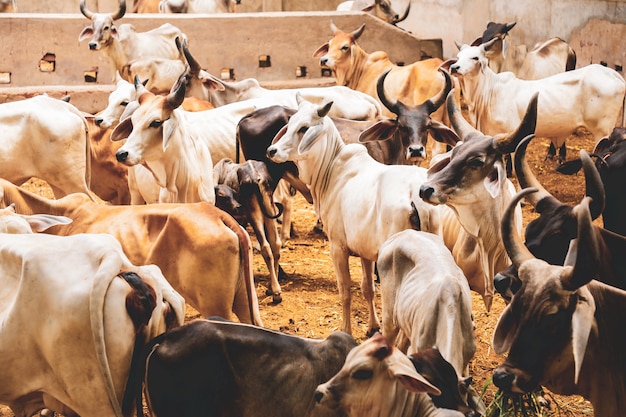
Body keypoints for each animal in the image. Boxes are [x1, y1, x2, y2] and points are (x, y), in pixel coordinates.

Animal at [264, 94, 438, 334]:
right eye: (289, 124)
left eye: (304, 128)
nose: (272, 151)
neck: (332, 169)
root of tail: (415, 195)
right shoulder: (365, 251)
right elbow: (367, 288)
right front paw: (372, 326)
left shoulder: (338, 247)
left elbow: (345, 291)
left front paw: (345, 331)